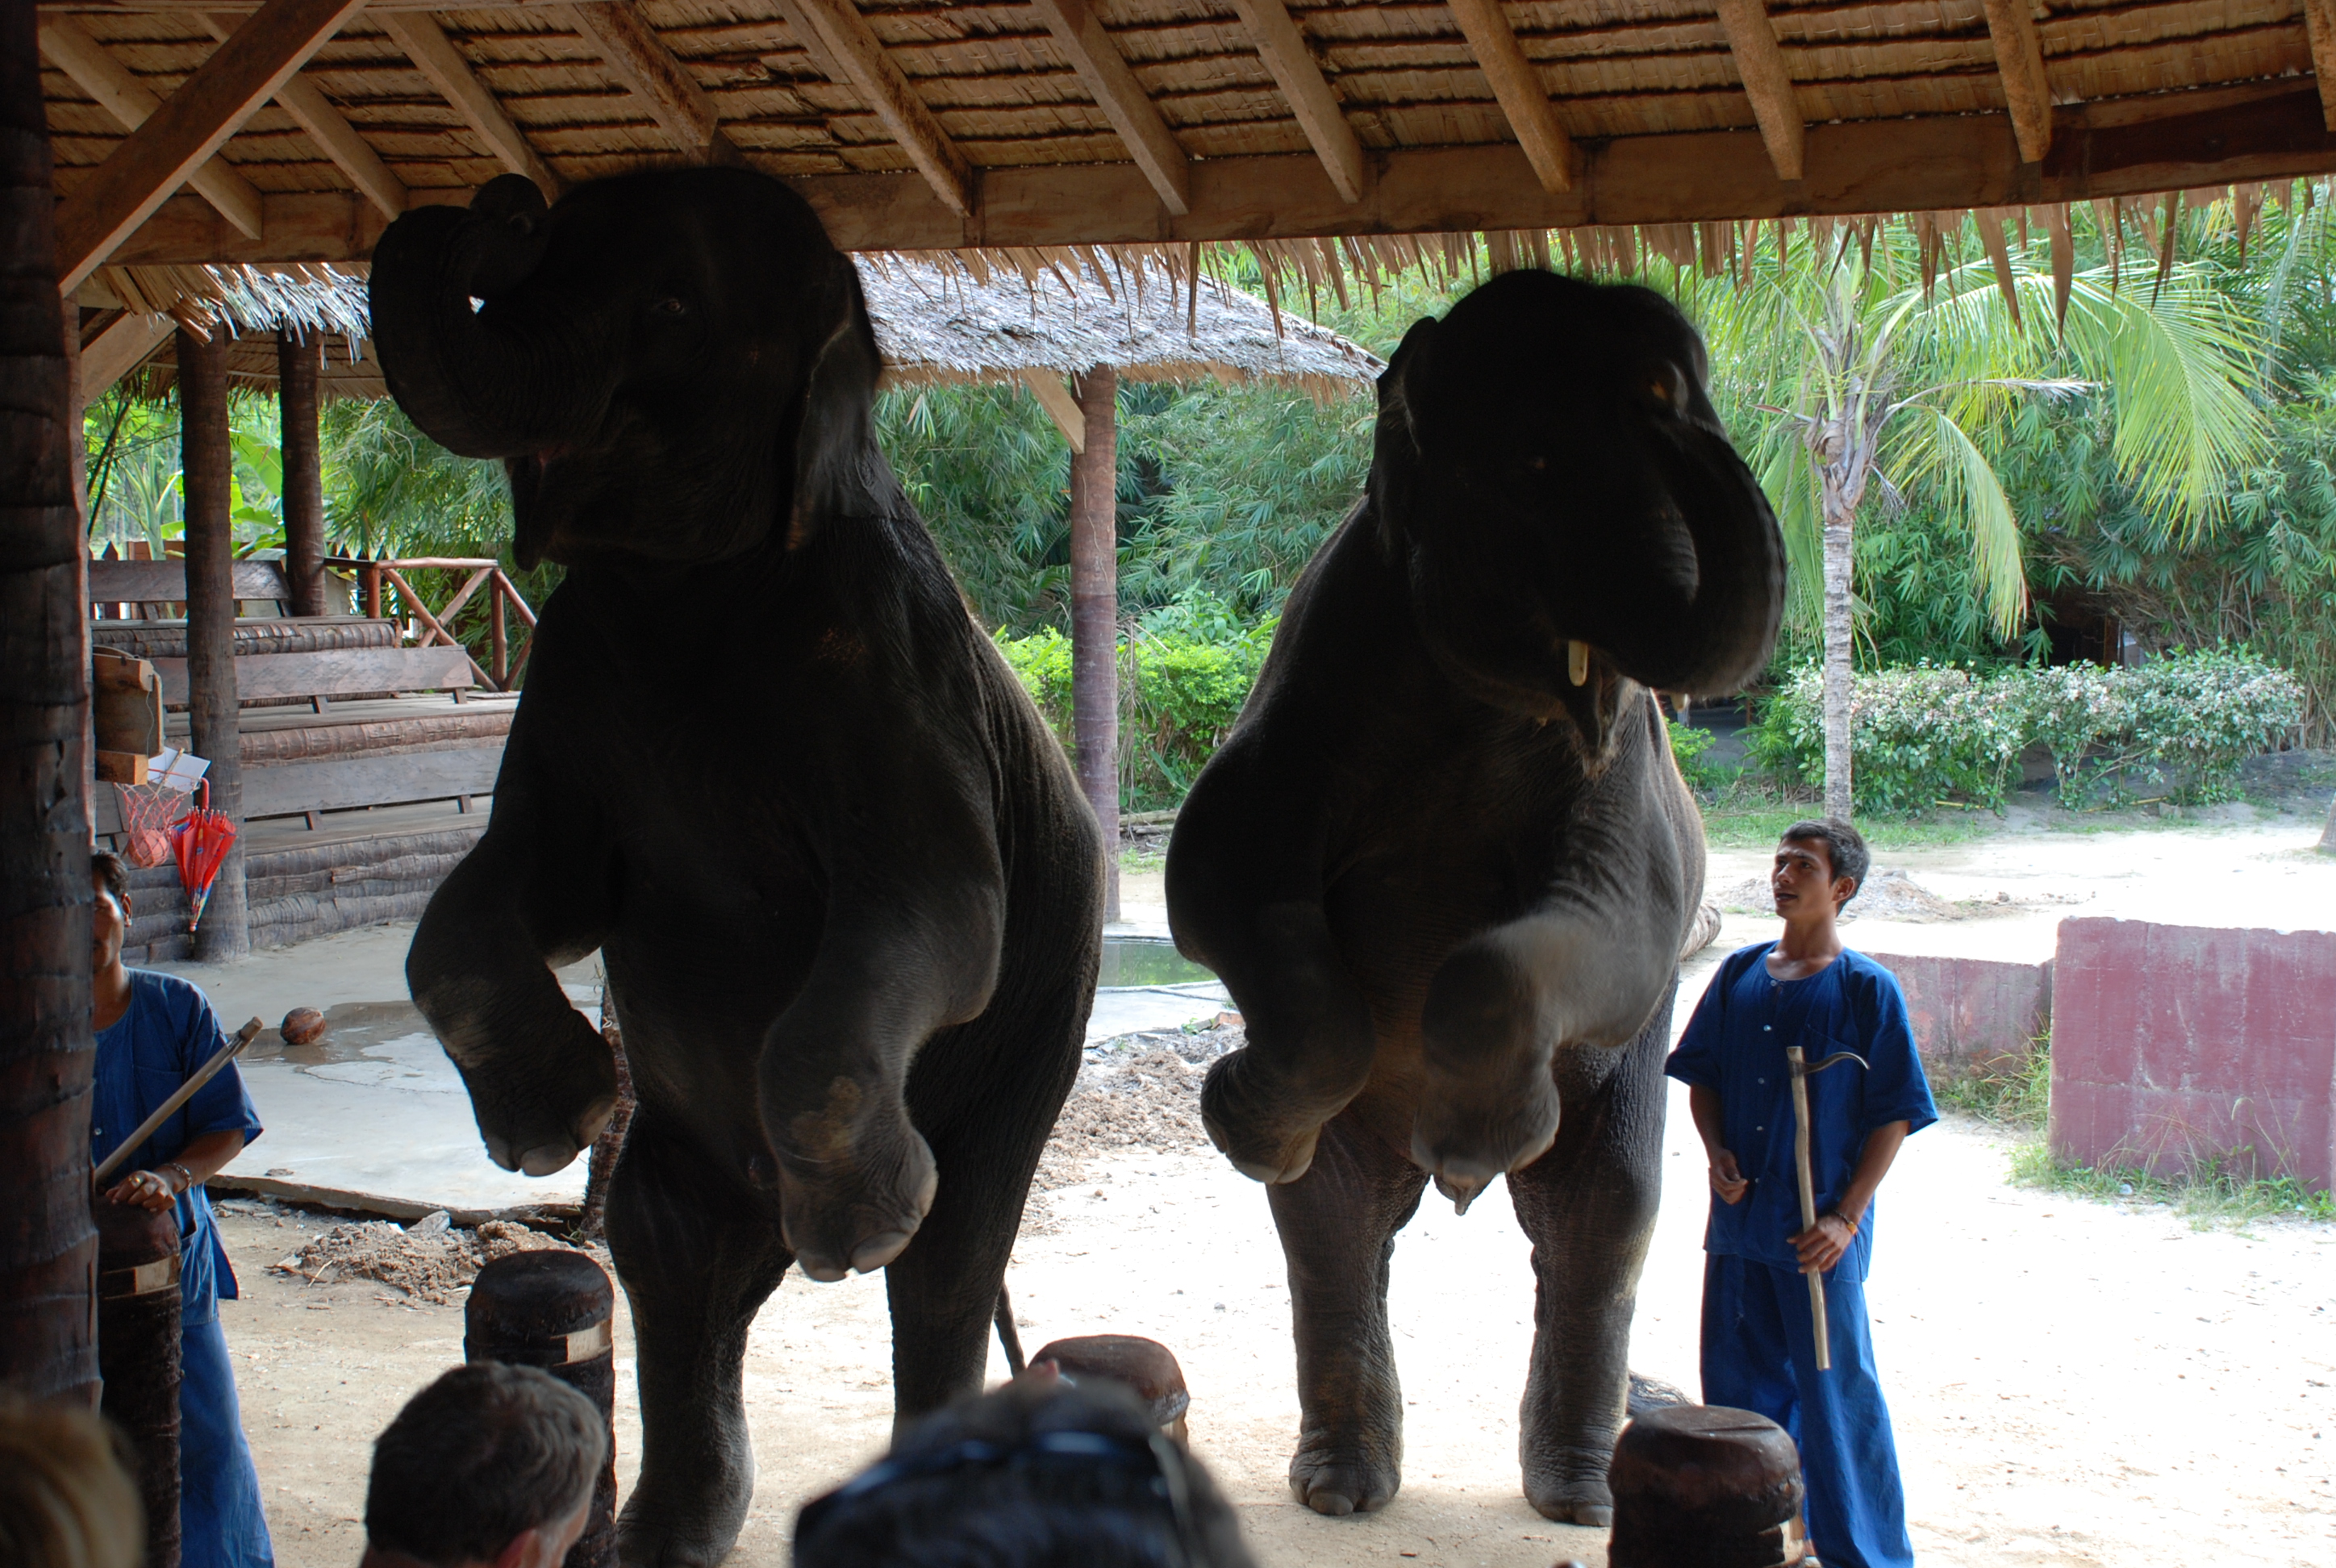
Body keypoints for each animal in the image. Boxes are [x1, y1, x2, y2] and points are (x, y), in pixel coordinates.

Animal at [373, 165, 1102, 1561]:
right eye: (545, 247)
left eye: (670, 305)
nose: (503, 199)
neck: (693, 591)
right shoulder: (572, 666)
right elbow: (523, 892)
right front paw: (557, 1118)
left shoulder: (891, 650)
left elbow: (941, 916)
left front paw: (863, 1220)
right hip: (691, 1174)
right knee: (672, 1262)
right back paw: (670, 1525)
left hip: (1039, 1034)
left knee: (947, 1268)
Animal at [1168, 275, 1784, 1523]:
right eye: (1537, 461)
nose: (1664, 389)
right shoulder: (1309, 678)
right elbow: (1211, 875)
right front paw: (1235, 1113)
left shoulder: (1631, 778)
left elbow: (1635, 927)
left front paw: (1488, 1128)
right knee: (1331, 1222)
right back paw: (1341, 1485)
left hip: (1627, 1090)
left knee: (1606, 1216)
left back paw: (1581, 1495)